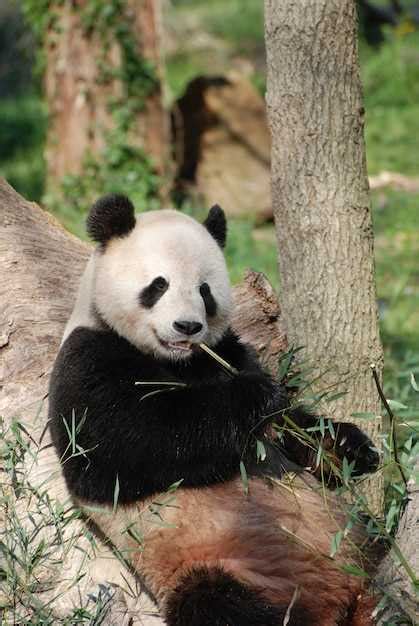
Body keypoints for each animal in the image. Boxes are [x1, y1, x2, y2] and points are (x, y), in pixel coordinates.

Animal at [50, 193, 380, 620]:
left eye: (205, 290)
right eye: (159, 285)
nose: (187, 327)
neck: (177, 362)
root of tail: (337, 599)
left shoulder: (227, 351)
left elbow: (293, 432)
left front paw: (349, 445)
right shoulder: (87, 362)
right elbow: (136, 440)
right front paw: (257, 394)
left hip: (353, 537)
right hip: (220, 564)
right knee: (216, 603)